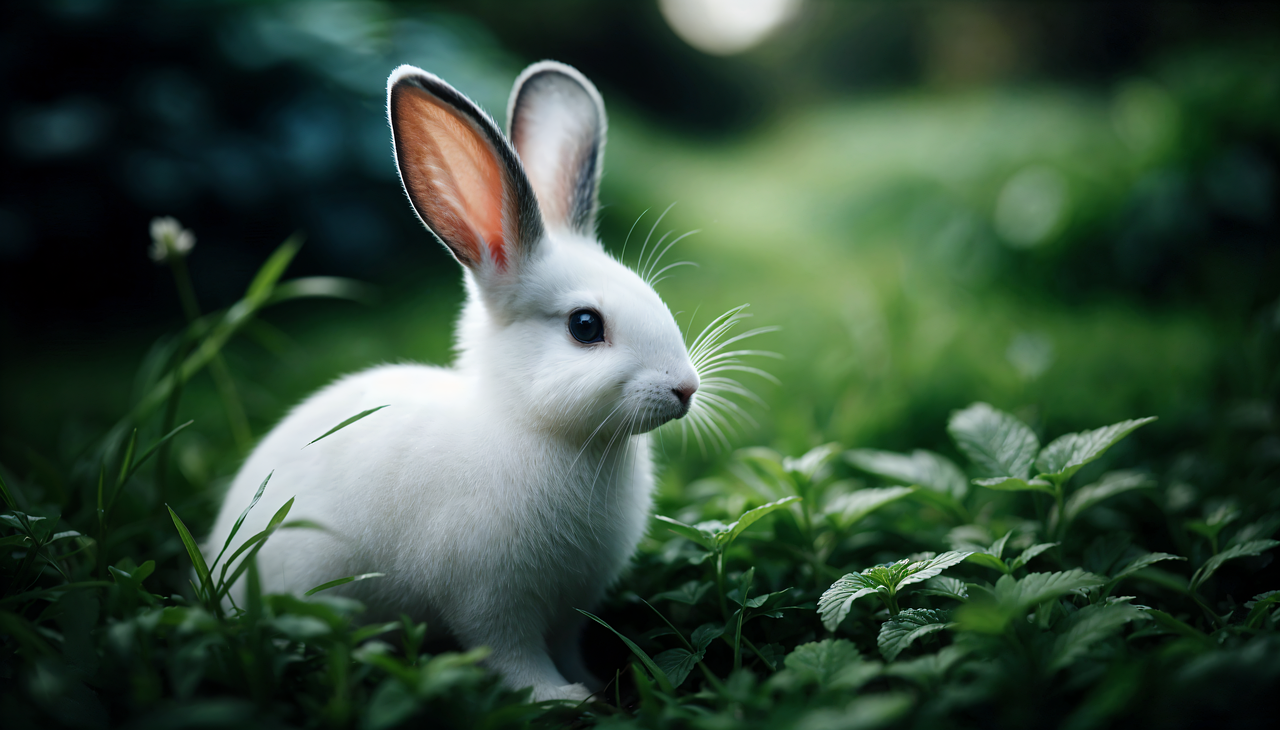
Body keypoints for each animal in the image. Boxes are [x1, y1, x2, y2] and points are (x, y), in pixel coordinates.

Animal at [203, 61, 701, 703]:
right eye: (585, 326)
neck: (530, 427)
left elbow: (566, 644)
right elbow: (513, 655)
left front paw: (591, 683)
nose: (686, 389)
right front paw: (562, 697)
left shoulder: (570, 608)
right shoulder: (490, 599)